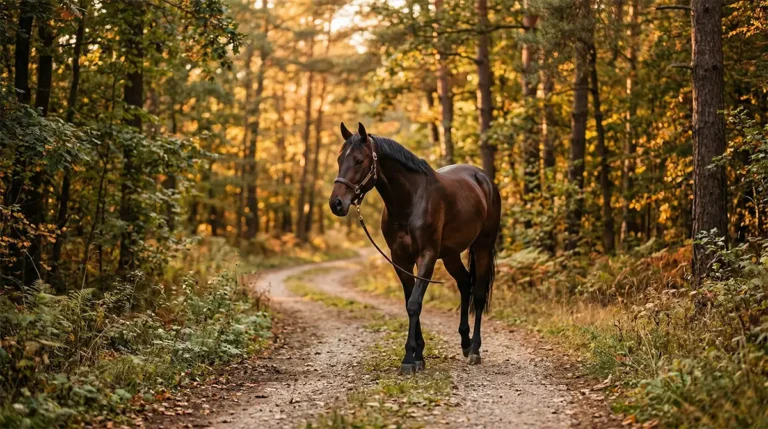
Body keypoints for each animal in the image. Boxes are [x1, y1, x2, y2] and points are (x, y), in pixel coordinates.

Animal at [329, 122, 501, 374]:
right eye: (340, 159)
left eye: (359, 160)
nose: (336, 203)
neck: (409, 201)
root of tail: (484, 179)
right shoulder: (400, 259)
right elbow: (409, 300)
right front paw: (418, 354)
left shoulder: (426, 256)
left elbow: (414, 303)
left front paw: (409, 358)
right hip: (451, 255)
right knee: (465, 283)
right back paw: (465, 343)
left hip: (483, 248)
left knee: (478, 294)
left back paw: (475, 350)